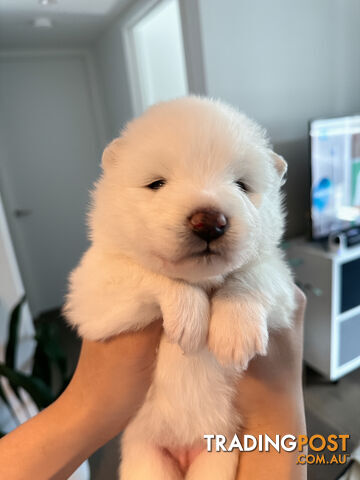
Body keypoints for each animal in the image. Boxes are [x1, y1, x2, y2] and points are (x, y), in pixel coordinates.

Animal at [64, 95, 296, 478]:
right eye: (157, 184)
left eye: (242, 185)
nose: (210, 222)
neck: (202, 280)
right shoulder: (93, 287)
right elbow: (150, 273)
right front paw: (191, 320)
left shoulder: (281, 281)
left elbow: (251, 275)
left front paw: (235, 331)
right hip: (145, 457)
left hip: (219, 454)